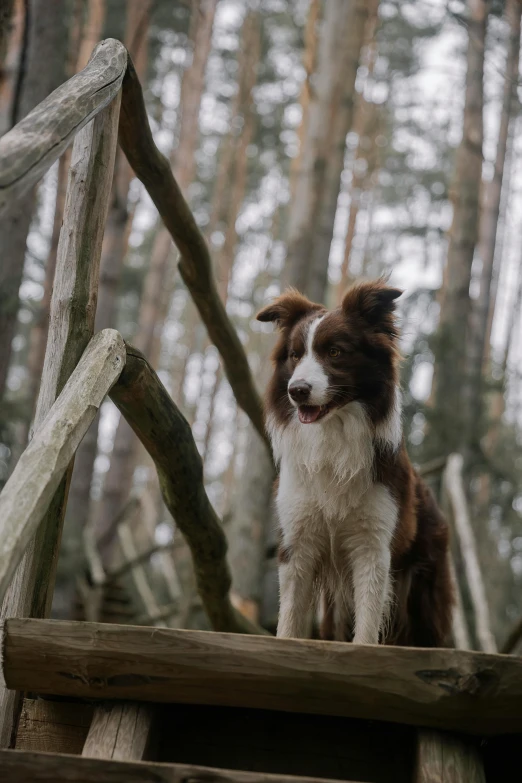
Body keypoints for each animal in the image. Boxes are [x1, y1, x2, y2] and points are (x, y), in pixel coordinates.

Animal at [256, 278, 450, 648]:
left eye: (334, 352)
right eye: (295, 354)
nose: (297, 390)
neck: (332, 436)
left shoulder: (373, 545)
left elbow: (367, 627)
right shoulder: (297, 542)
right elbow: (289, 620)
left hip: (422, 590)